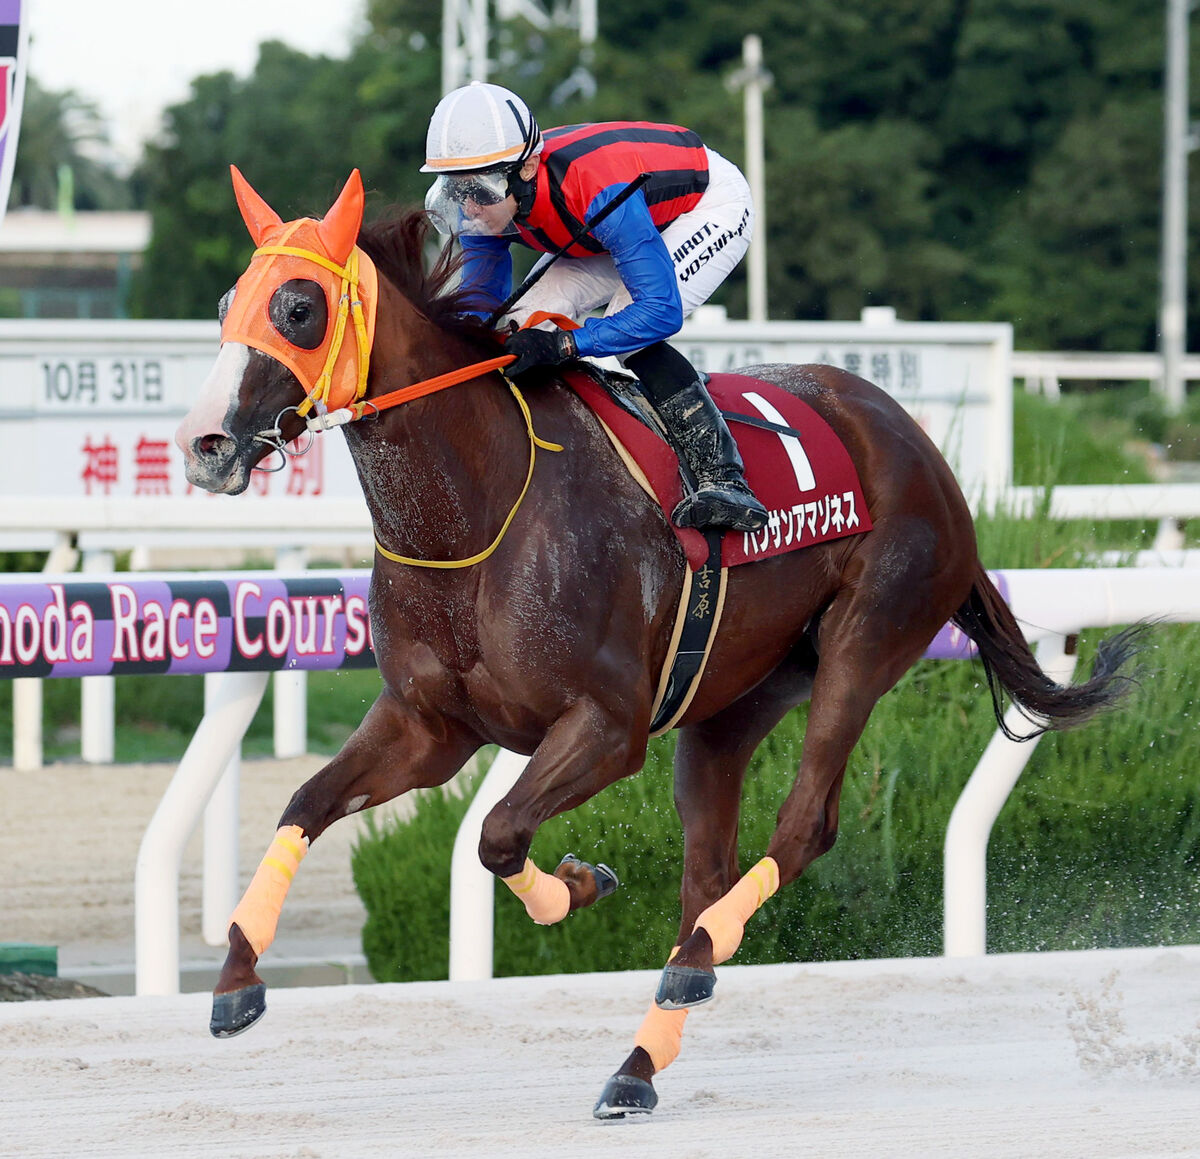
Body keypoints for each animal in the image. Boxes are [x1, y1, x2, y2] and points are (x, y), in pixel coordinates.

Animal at [174, 167, 1137, 1118]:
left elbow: (497, 832)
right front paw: (235, 979)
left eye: (299, 307)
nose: (204, 443)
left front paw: (579, 883)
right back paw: (644, 1054)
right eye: (226, 300)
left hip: (866, 640)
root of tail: (918, 444)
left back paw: (689, 969)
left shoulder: (607, 725)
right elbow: (307, 802)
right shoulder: (429, 725)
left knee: (804, 825)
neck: (479, 507)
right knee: (707, 867)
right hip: (732, 701)